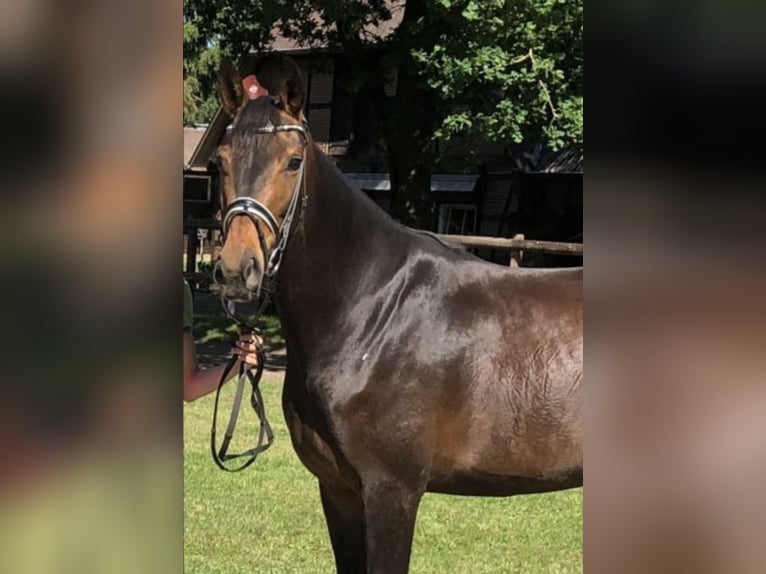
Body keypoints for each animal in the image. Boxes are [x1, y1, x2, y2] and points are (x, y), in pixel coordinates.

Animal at [212, 58, 583, 574]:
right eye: (220, 162)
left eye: (292, 161)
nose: (236, 270)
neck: (374, 316)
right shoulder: (339, 490)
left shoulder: (392, 491)